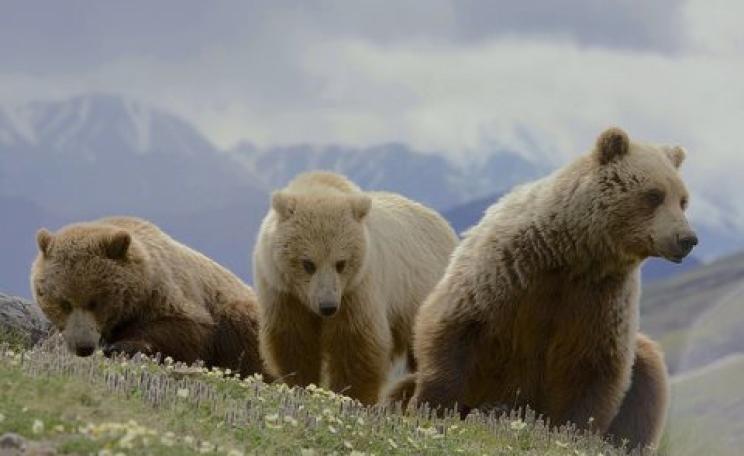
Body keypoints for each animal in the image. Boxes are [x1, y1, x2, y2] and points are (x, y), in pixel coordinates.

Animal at [31, 216, 267, 378]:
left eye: (95, 301)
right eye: (64, 303)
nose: (83, 347)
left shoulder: (168, 293)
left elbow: (185, 329)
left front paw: (120, 347)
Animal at [253, 171, 458, 404]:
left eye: (341, 263)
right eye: (308, 263)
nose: (327, 306)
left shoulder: (357, 290)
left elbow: (355, 345)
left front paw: (350, 395)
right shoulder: (283, 292)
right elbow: (294, 341)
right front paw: (300, 385)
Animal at [391, 128, 695, 450]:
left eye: (683, 200)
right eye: (654, 195)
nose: (687, 238)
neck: (573, 254)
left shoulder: (600, 301)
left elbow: (594, 371)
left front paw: (571, 434)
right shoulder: (506, 272)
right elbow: (453, 329)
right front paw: (430, 409)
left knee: (647, 377)